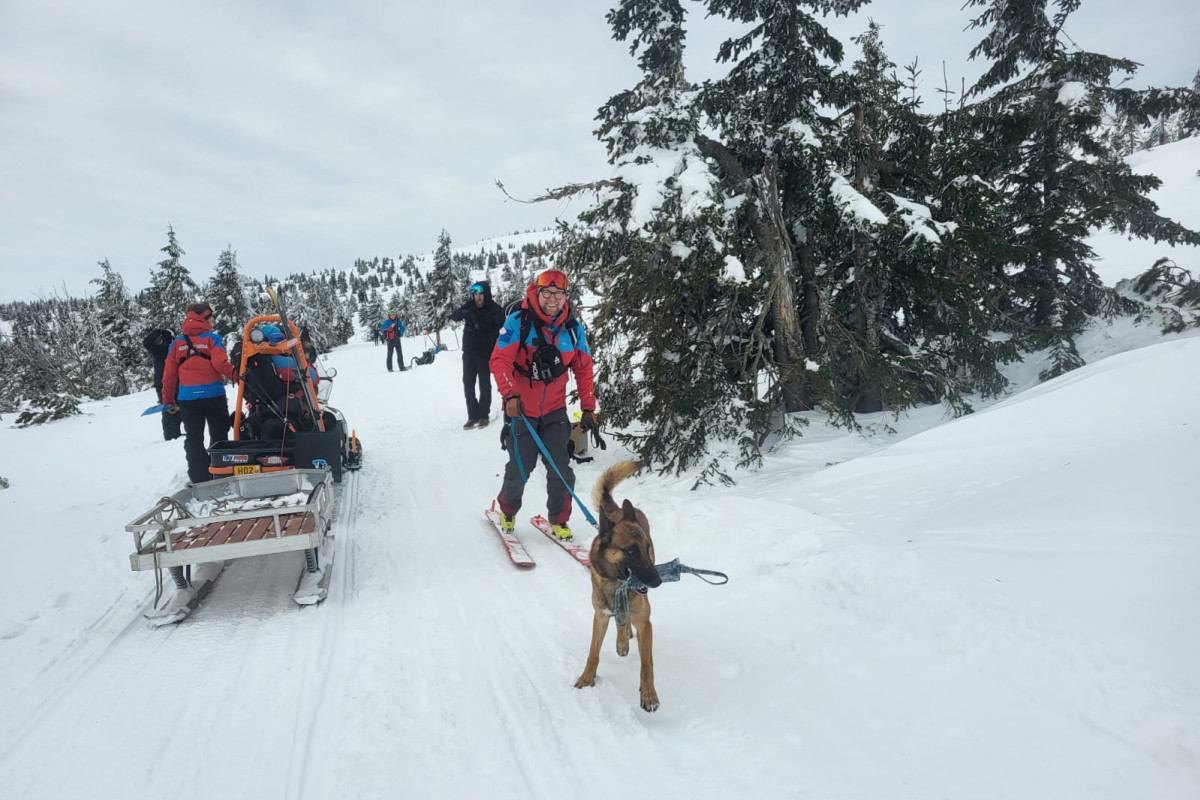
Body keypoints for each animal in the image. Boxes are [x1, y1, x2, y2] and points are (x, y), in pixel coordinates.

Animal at [573, 462, 667, 714]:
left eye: (646, 548)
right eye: (631, 551)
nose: (658, 581)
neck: (617, 584)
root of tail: (617, 510)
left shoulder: (645, 623)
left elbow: (647, 664)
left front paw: (649, 695)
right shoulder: (600, 616)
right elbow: (593, 652)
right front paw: (587, 678)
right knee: (619, 621)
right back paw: (622, 639)